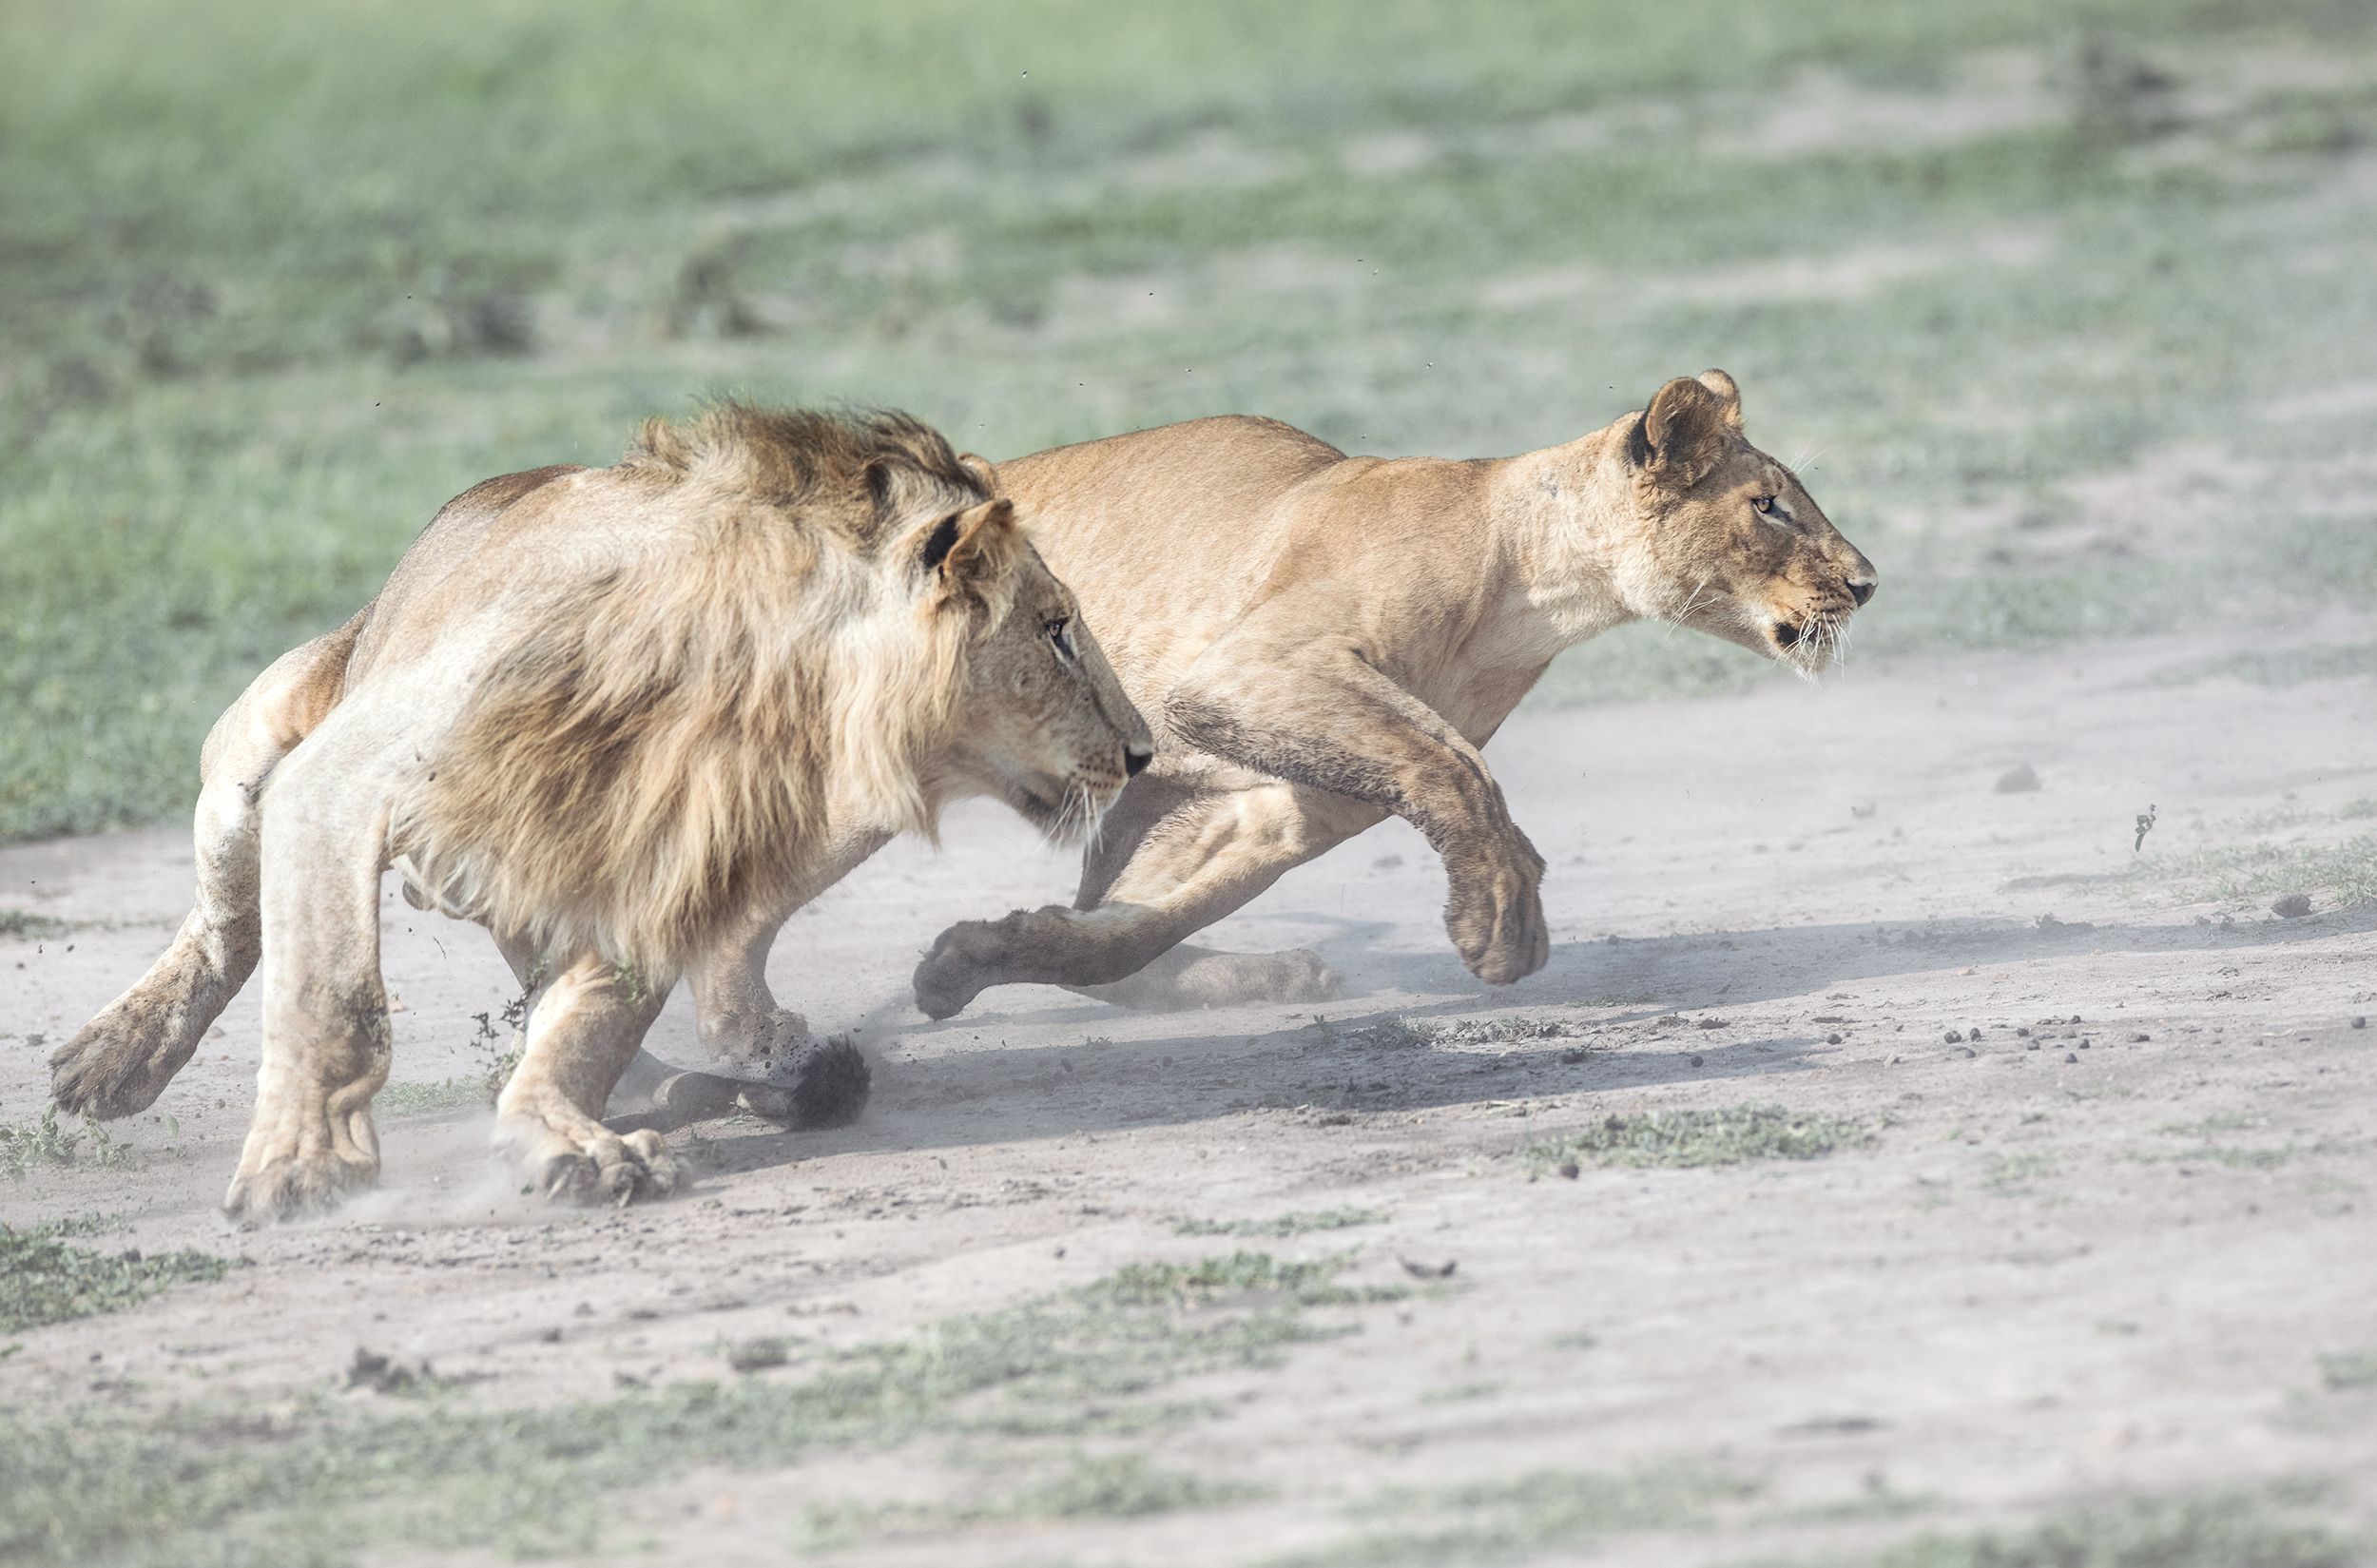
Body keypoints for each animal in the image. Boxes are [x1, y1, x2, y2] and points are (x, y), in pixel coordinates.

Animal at [49, 404, 1151, 1222]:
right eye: (1055, 630)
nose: (1143, 750)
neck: (747, 687)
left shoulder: (660, 853)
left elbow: (591, 1021)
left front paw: (563, 1134)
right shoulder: (341, 775)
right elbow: (335, 998)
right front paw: (304, 1163)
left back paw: (749, 1063)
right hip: (267, 729)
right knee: (226, 916)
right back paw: (114, 1057)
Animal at [675, 370, 1876, 1050]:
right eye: (1770, 505)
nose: (1866, 582)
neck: (1532, 591)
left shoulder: (1286, 795)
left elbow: (1135, 930)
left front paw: (975, 955)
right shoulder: (1244, 673)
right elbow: (1462, 773)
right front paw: (1502, 918)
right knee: (727, 903)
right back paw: (746, 1038)